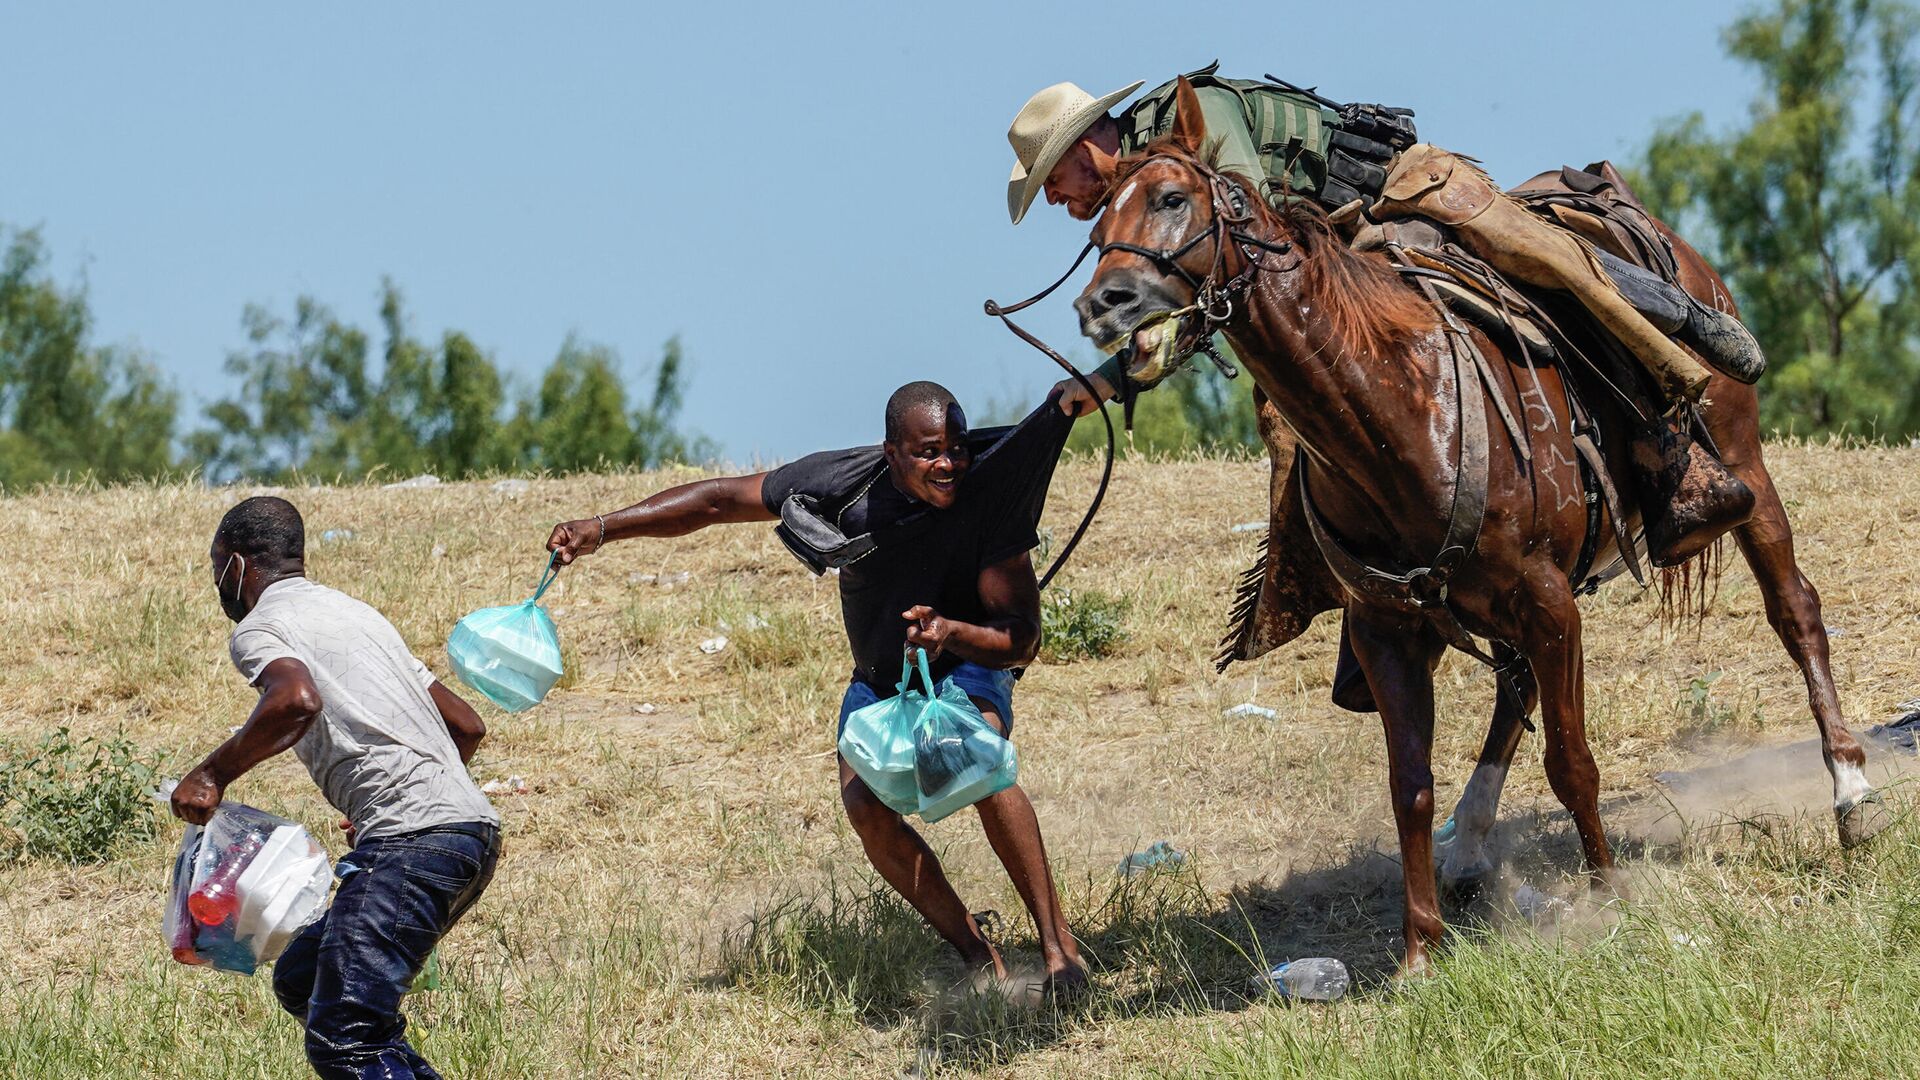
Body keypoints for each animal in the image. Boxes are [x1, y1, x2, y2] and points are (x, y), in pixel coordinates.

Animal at [1082, 75, 1889, 968]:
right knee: (1514, 689)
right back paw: (1469, 846)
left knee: (1795, 609)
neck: (1396, 406)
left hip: (1743, 465)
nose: (1103, 304)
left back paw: (1852, 791)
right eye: (1096, 225)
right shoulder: (1391, 628)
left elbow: (1572, 761)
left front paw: (1610, 896)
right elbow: (1410, 786)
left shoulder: (1548, 599)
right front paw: (1419, 951)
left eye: (1172, 198)